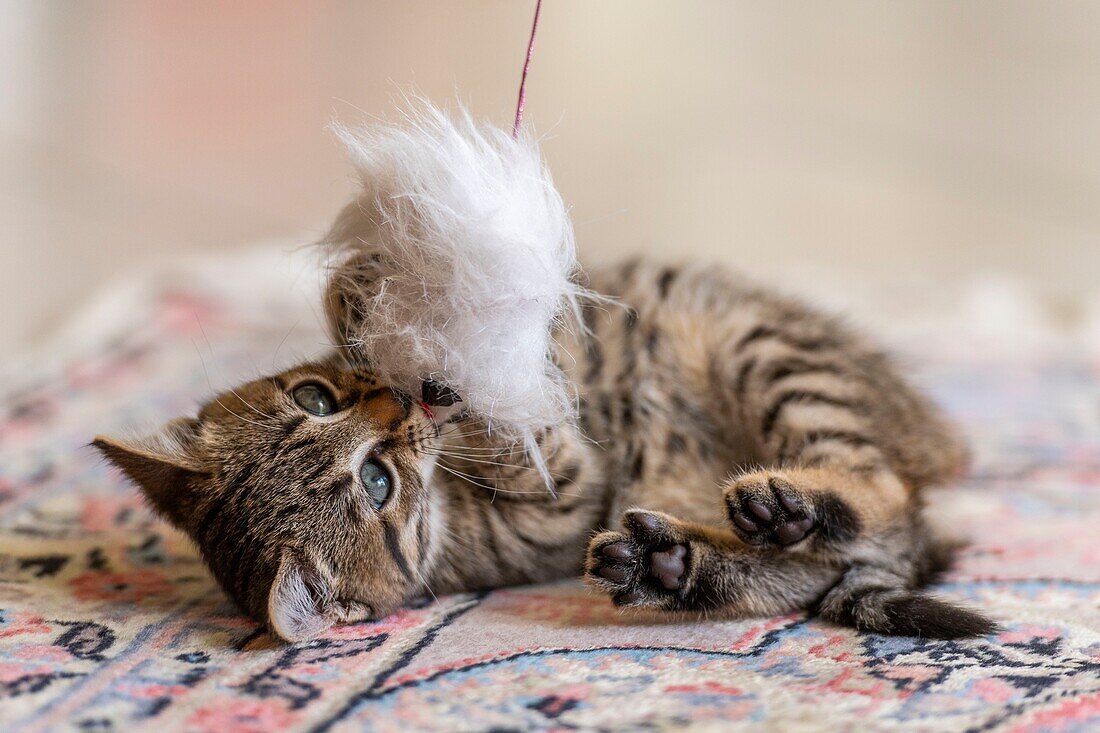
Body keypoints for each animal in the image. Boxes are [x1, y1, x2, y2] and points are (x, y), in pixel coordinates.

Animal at [94, 258, 994, 638]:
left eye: (314, 397)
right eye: (378, 485)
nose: (400, 398)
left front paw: (368, 295)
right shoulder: (561, 498)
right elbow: (530, 439)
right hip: (772, 354)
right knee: (852, 520)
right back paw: (695, 552)